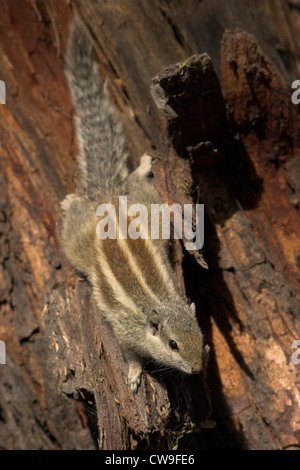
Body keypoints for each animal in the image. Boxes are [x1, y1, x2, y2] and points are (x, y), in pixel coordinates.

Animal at [59, 17, 207, 392]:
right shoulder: (125, 330)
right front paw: (135, 374)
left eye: (200, 336)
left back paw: (141, 167)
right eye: (173, 344)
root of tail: (109, 197)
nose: (197, 369)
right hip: (77, 242)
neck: (155, 306)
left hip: (149, 206)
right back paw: (69, 201)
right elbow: (130, 353)